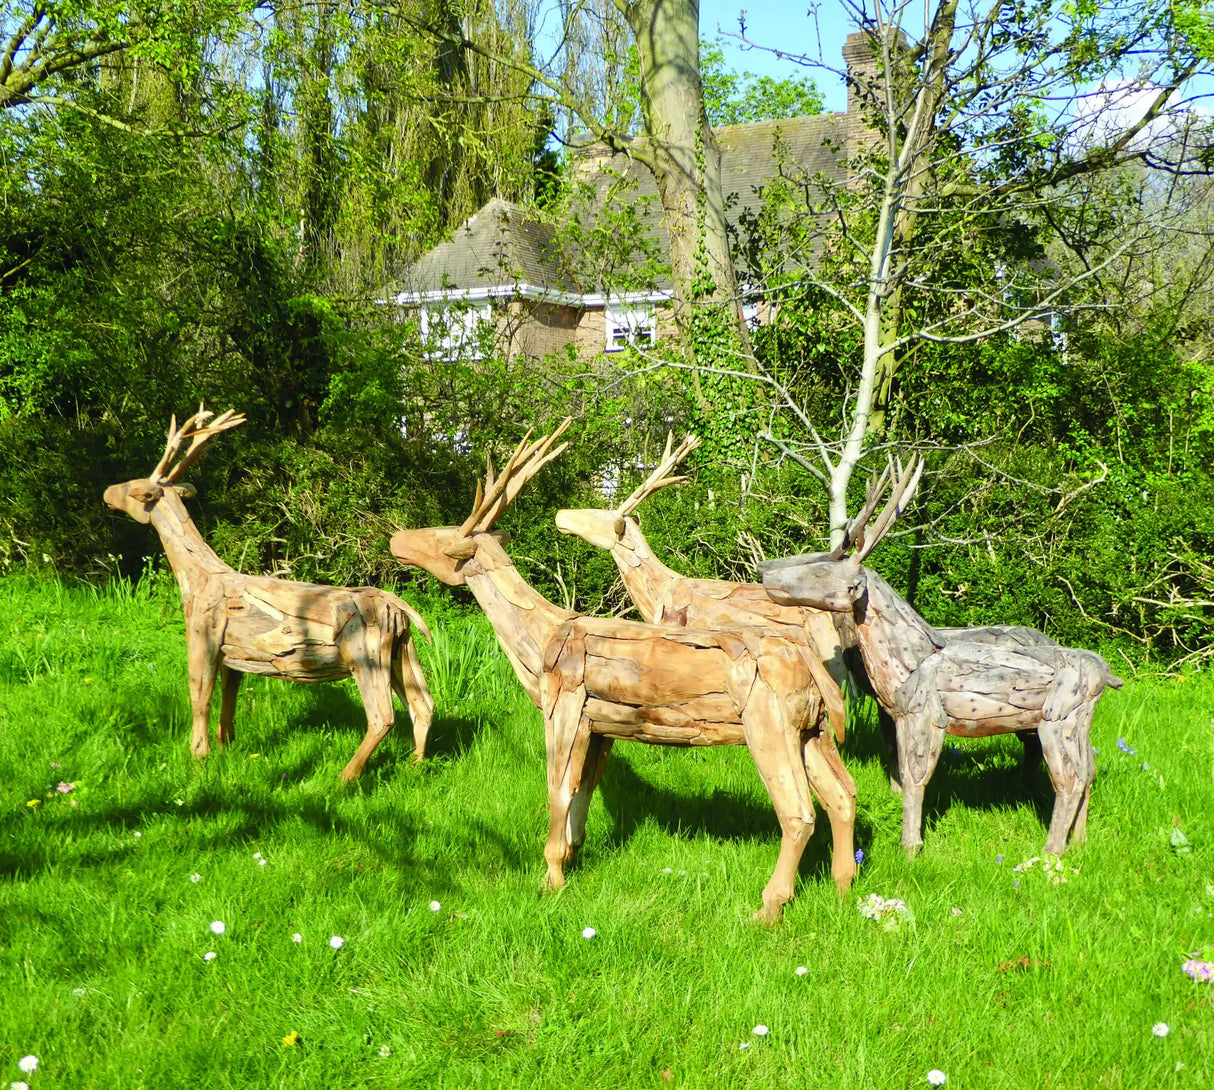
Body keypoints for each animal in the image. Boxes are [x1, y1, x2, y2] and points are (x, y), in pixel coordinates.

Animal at [104, 405, 435, 782]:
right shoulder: (233, 654)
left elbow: (199, 698)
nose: (107, 493)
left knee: (383, 715)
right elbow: (229, 699)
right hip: (402, 649)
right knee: (424, 705)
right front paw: (226, 747)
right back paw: (415, 766)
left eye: (135, 489)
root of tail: (398, 609)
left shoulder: (203, 637)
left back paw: (344, 778)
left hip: (365, 652)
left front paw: (199, 760)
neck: (195, 579)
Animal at [389, 420, 857, 923]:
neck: (539, 640)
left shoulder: (564, 706)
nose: (396, 539)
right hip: (813, 727)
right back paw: (843, 888)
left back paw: (768, 909)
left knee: (799, 813)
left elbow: (557, 790)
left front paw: (550, 879)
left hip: (768, 721)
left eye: (440, 539)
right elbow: (583, 792)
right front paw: (571, 857)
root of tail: (813, 666)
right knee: (844, 795)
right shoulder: (602, 725)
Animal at [759, 459, 1123, 858]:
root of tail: (1107, 675)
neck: (905, 661)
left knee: (1070, 778)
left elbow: (916, 777)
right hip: (1078, 723)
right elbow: (902, 771)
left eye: (822, 570)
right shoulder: (898, 715)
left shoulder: (925, 714)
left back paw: (1050, 852)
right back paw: (1079, 841)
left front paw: (910, 847)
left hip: (1058, 718)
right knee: (1089, 769)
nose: (763, 570)